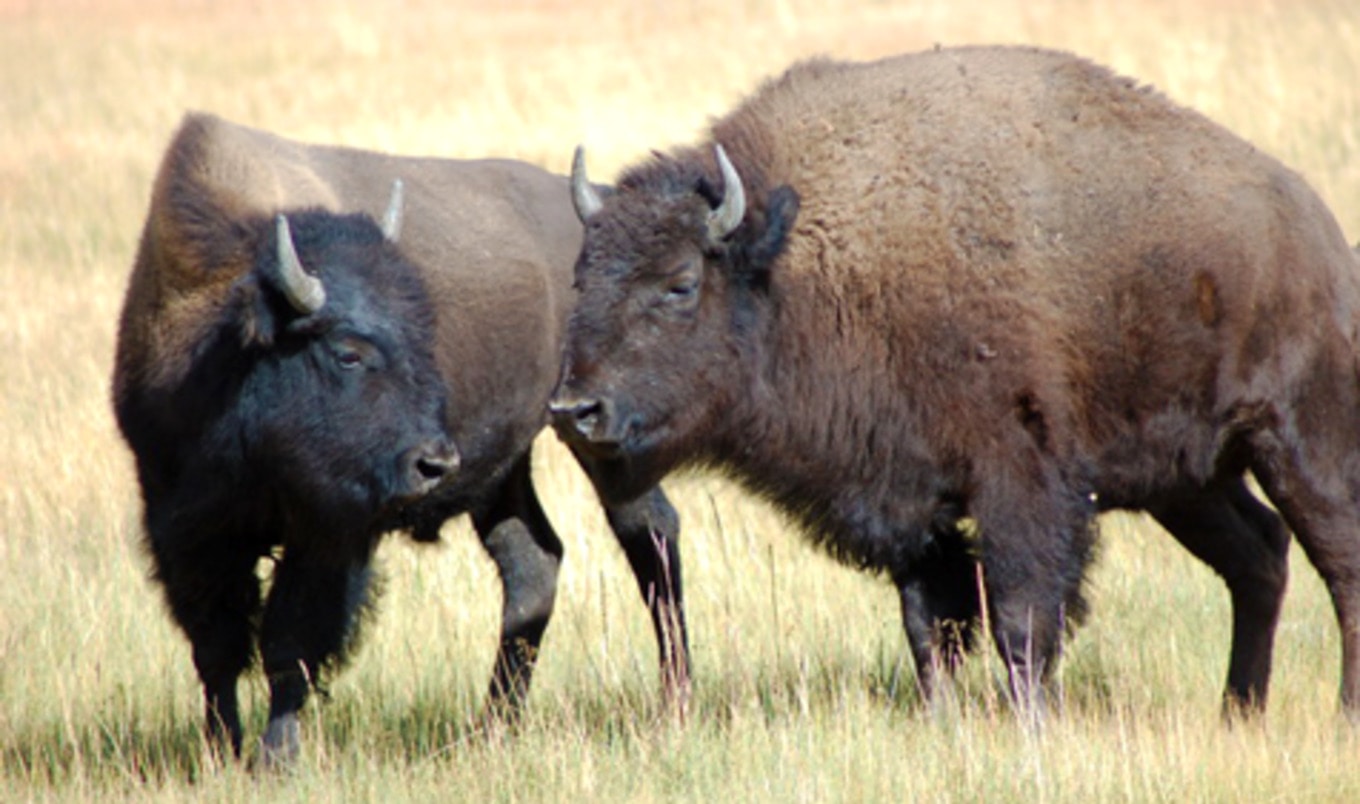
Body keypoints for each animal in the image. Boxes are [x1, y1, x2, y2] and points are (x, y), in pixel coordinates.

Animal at [113, 113, 688, 765]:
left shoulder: (330, 532)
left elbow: (290, 643)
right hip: (506, 469)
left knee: (649, 535)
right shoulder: (184, 525)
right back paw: (493, 727)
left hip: (597, 437)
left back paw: (673, 702)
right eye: (348, 352)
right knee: (533, 562)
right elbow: (216, 647)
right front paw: (222, 750)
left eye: (424, 334)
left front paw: (275, 758)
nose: (432, 463)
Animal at [553, 45, 1360, 717]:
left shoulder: (1020, 485)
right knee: (1259, 556)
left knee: (1339, 558)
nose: (574, 408)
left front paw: (1034, 728)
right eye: (580, 277)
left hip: (1296, 440)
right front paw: (941, 720)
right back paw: (1238, 713)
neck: (801, 263)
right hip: (1188, 481)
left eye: (680, 284)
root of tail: (1317, 230)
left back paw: (1342, 716)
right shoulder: (912, 501)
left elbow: (1022, 620)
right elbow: (929, 625)